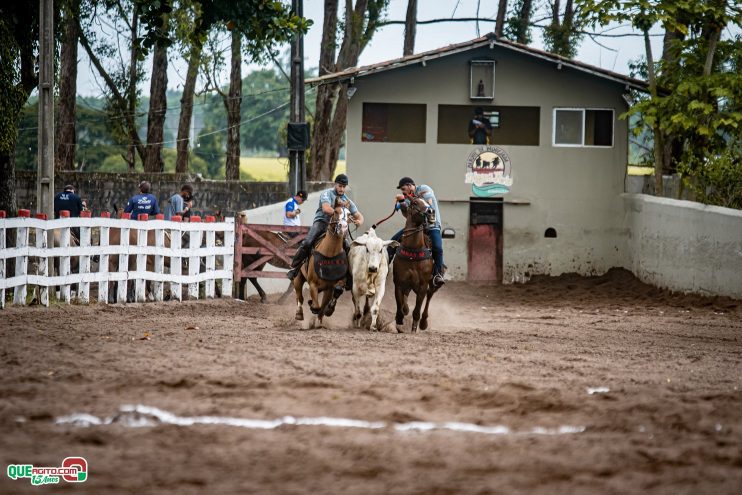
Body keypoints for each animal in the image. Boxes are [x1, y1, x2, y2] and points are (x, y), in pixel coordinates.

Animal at [292, 198, 350, 330]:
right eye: (335, 211)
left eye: (349, 215)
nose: (343, 227)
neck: (329, 254)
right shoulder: (313, 284)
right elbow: (317, 307)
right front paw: (313, 308)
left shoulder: (330, 287)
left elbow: (324, 306)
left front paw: (325, 315)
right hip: (298, 278)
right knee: (299, 296)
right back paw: (299, 313)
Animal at [392, 197, 438, 334]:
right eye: (415, 202)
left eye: (428, 202)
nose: (431, 212)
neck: (413, 251)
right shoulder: (399, 283)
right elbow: (400, 304)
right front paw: (399, 322)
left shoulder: (423, 285)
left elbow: (417, 309)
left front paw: (414, 327)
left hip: (432, 283)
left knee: (429, 297)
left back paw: (423, 322)